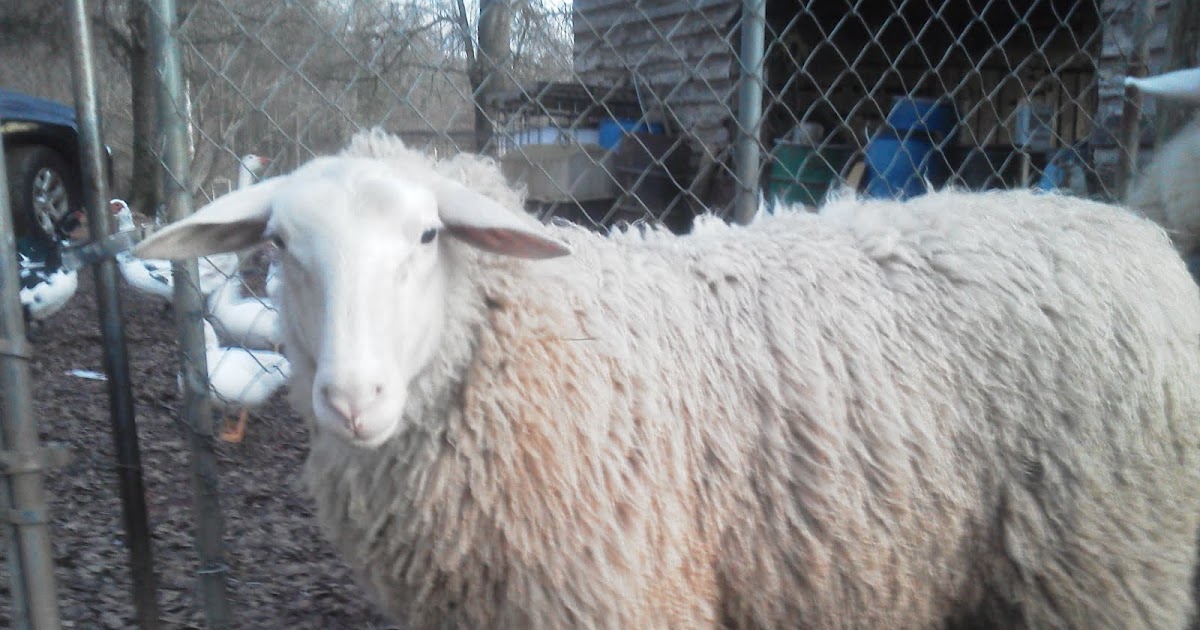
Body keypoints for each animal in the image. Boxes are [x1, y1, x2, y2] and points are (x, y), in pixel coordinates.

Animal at [133, 129, 1200, 629]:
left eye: (430, 236)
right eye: (279, 244)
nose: (352, 401)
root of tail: (1135, 235)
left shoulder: (625, 590)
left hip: (1109, 561)